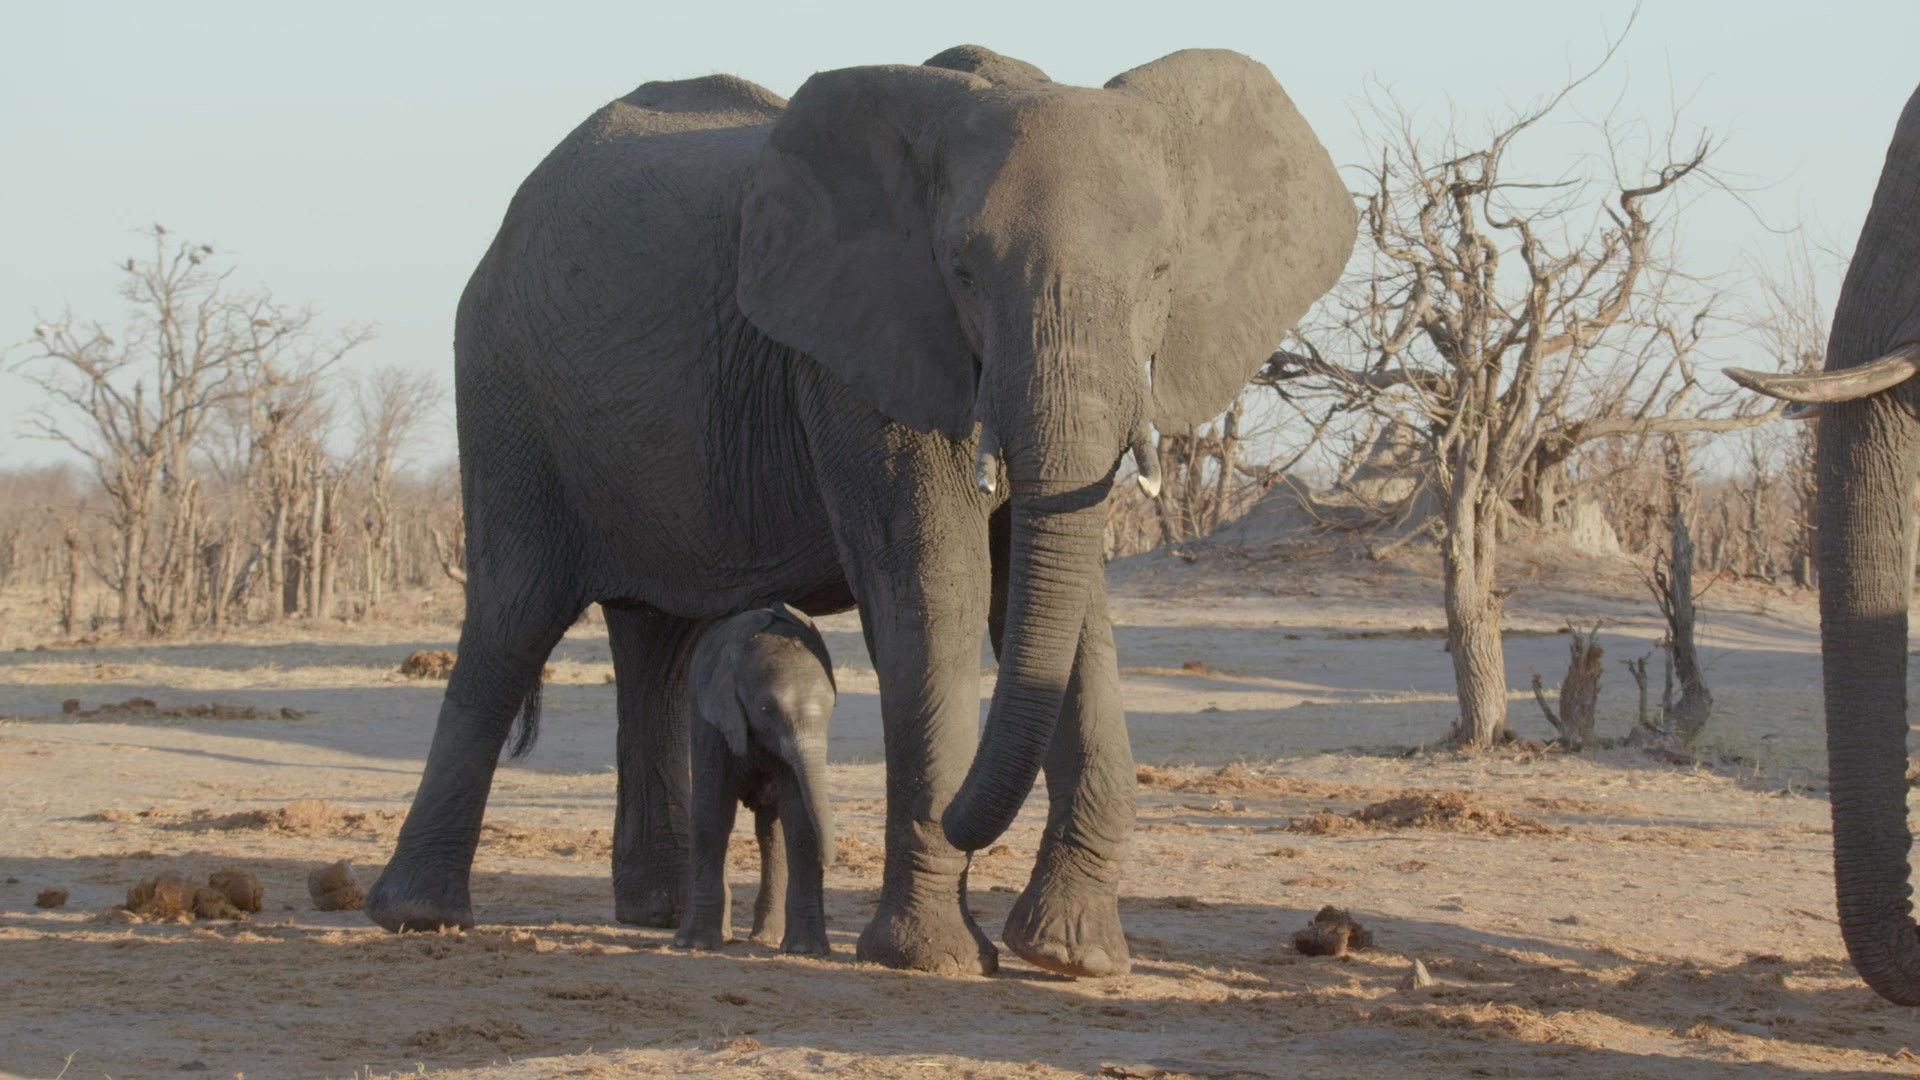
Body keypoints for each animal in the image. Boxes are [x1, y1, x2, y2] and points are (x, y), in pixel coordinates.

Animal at [674, 604, 836, 955]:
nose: (831, 860)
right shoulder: (712, 720)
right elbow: (712, 813)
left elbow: (799, 819)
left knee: (770, 831)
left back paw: (767, 938)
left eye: (832, 708)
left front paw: (804, 950)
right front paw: (696, 943)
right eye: (765, 708)